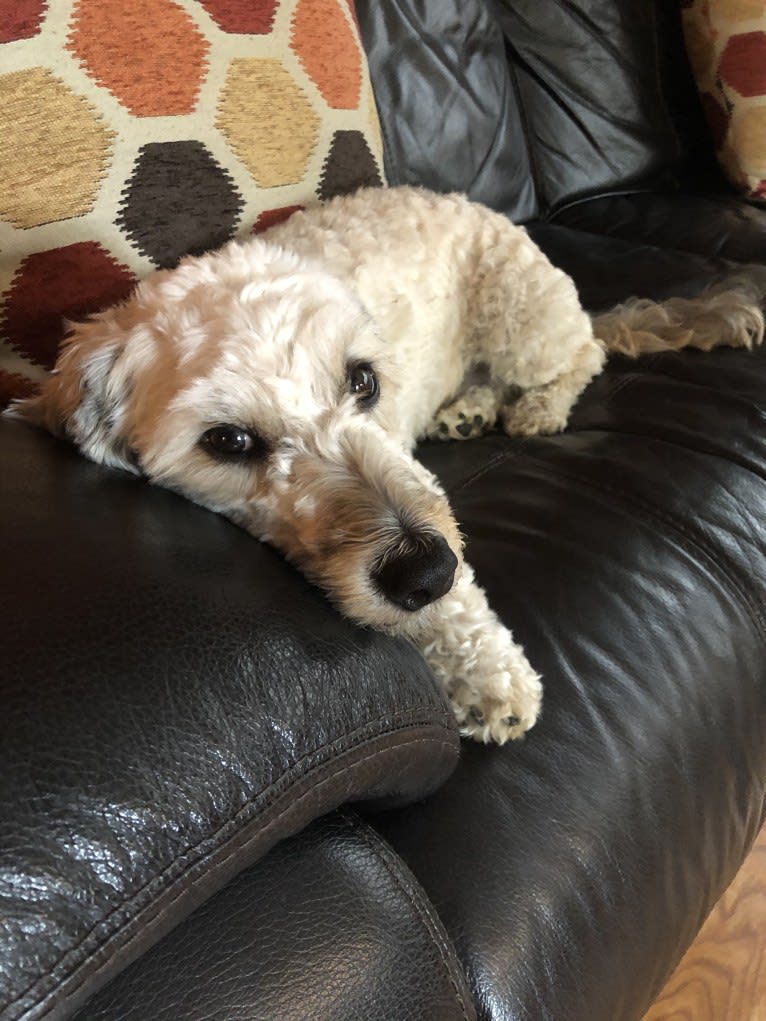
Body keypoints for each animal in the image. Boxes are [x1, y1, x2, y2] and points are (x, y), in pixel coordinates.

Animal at [10, 185, 763, 743]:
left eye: (364, 380)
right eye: (229, 442)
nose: (424, 570)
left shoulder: (410, 480)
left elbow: (458, 586)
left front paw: (487, 671)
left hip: (522, 318)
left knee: (585, 355)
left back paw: (539, 407)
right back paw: (468, 409)